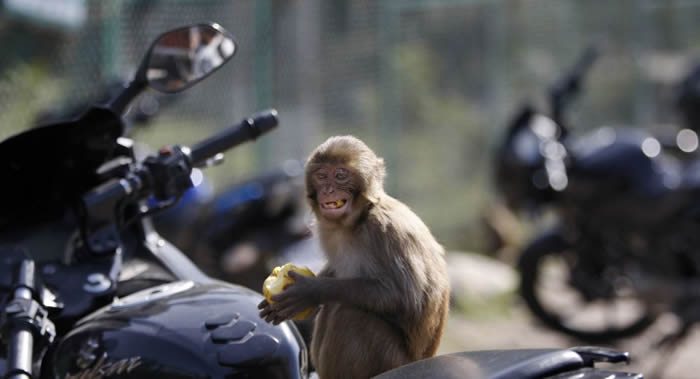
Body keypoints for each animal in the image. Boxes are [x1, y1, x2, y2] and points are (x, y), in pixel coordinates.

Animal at [260, 137, 452, 379]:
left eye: (341, 175)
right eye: (321, 175)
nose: (328, 189)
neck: (359, 219)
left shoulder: (386, 231)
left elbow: (407, 298)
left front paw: (309, 291)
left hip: (392, 361)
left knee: (350, 314)